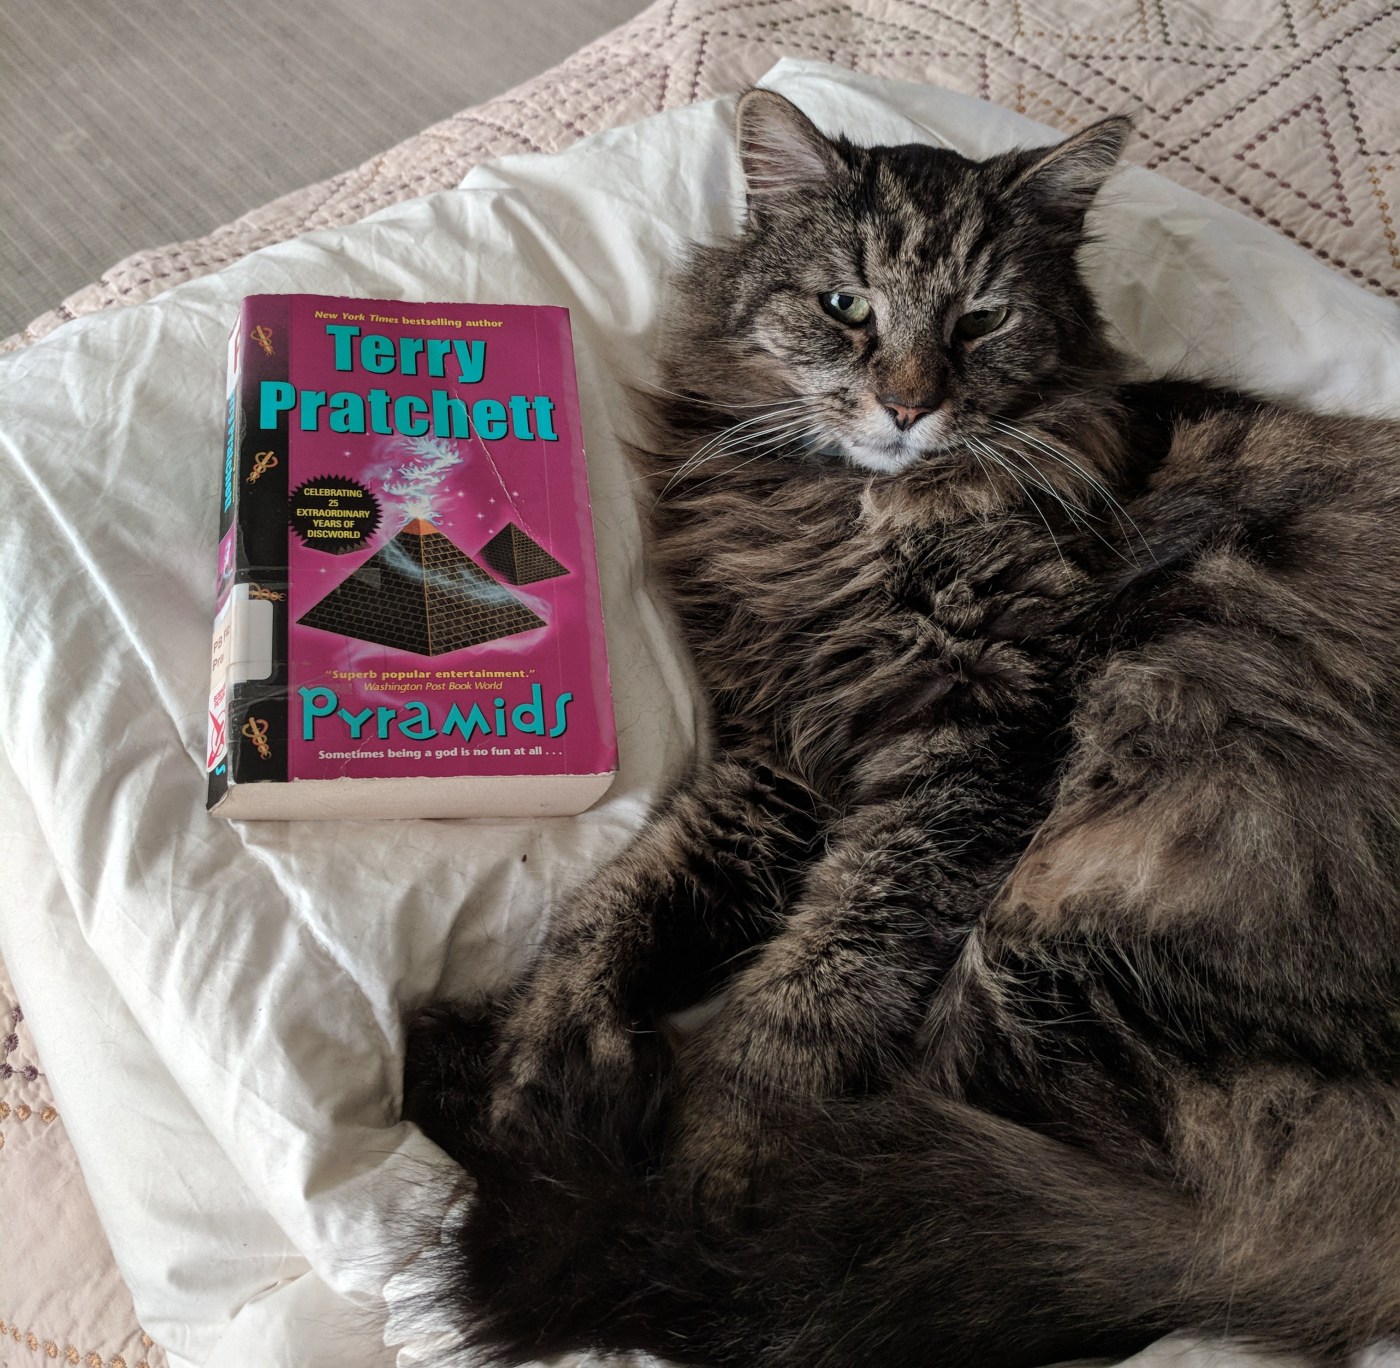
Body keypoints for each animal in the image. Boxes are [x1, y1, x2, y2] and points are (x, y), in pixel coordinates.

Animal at [402, 89, 1400, 1368]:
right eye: (845, 307)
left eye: (979, 319)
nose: (908, 404)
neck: (852, 521)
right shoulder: (779, 760)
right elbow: (611, 906)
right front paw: (546, 1042)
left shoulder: (965, 754)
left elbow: (812, 986)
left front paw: (711, 1155)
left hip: (1078, 876)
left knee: (852, 1200)